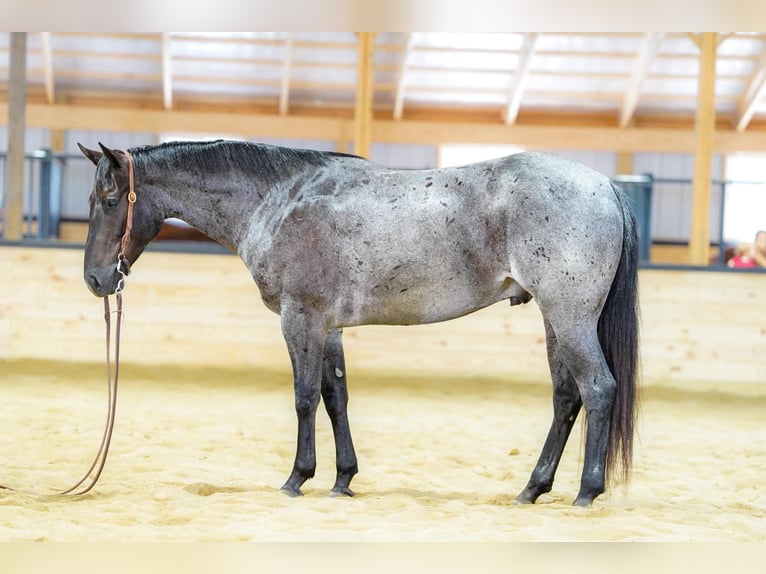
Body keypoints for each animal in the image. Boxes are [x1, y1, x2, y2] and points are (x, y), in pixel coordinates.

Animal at [78, 140, 639, 507]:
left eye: (111, 200)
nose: (96, 279)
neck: (280, 201)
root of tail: (603, 186)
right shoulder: (329, 327)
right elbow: (336, 397)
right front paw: (343, 479)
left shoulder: (300, 318)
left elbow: (304, 397)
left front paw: (297, 478)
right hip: (554, 321)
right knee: (566, 398)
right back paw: (532, 488)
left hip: (570, 317)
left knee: (598, 389)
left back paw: (586, 491)